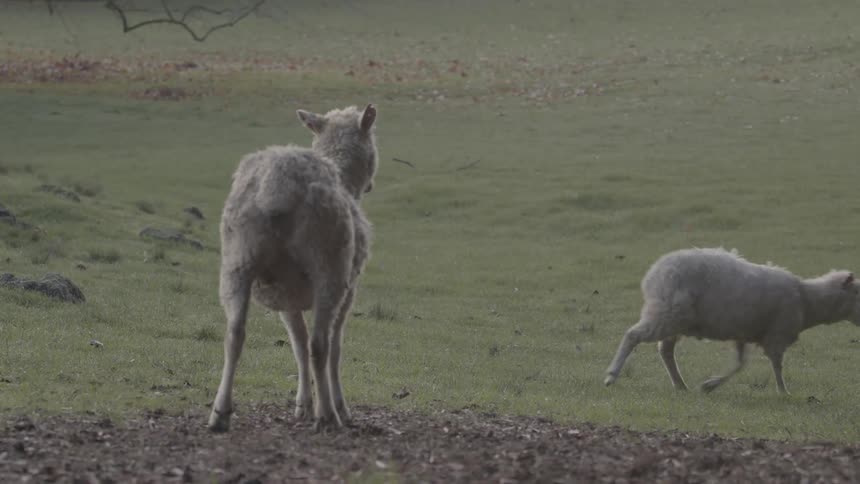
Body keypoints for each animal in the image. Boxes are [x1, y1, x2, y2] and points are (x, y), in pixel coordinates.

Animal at [208, 104, 378, 433]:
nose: (371, 185)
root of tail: (277, 185)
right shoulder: (349, 291)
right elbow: (333, 348)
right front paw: (337, 406)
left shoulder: (286, 296)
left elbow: (296, 344)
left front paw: (303, 405)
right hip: (329, 267)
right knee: (320, 345)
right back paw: (329, 416)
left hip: (238, 262)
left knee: (235, 334)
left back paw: (220, 412)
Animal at [604, 247, 860, 393]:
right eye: (859, 293)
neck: (808, 301)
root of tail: (654, 273)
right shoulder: (776, 336)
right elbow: (777, 367)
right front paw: (783, 392)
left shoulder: (743, 334)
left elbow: (740, 364)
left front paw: (709, 385)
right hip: (666, 313)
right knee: (633, 335)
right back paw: (612, 375)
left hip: (674, 319)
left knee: (665, 351)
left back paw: (680, 385)